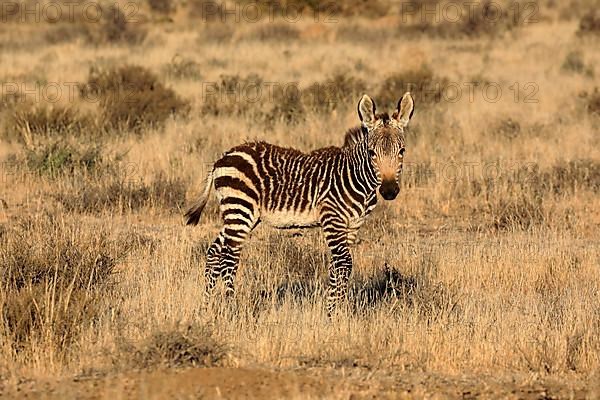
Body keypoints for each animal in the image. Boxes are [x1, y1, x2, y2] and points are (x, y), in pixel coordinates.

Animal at [185, 92, 414, 314]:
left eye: (402, 151)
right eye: (372, 153)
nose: (389, 191)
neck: (355, 177)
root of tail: (222, 157)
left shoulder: (352, 225)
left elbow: (338, 267)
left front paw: (336, 311)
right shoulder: (332, 220)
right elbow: (343, 263)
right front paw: (333, 314)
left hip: (240, 214)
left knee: (214, 252)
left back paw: (206, 306)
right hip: (239, 209)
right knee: (228, 258)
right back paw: (231, 307)